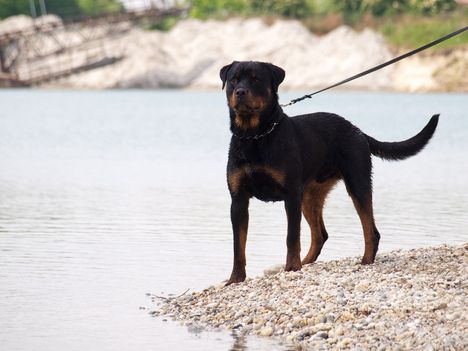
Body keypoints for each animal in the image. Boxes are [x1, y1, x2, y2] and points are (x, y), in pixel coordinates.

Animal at [219, 60, 438, 286]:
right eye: (233, 79)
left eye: (256, 79)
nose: (240, 92)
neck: (255, 136)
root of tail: (358, 130)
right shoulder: (238, 200)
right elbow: (238, 245)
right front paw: (235, 278)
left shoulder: (291, 195)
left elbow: (292, 237)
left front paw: (291, 268)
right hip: (309, 196)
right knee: (320, 235)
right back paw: (306, 263)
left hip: (357, 183)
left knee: (370, 230)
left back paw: (365, 261)